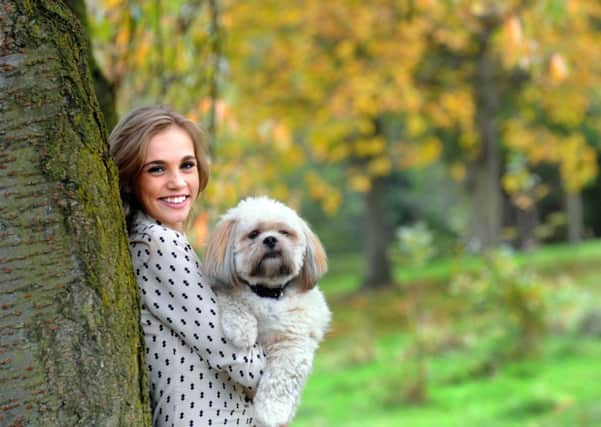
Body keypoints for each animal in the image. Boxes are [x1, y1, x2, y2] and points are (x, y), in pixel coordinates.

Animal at [204, 198, 330, 427]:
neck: (268, 293)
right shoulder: (226, 289)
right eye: (253, 234)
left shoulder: (293, 344)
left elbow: (279, 380)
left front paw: (271, 412)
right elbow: (233, 299)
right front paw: (241, 329)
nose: (270, 239)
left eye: (284, 232)